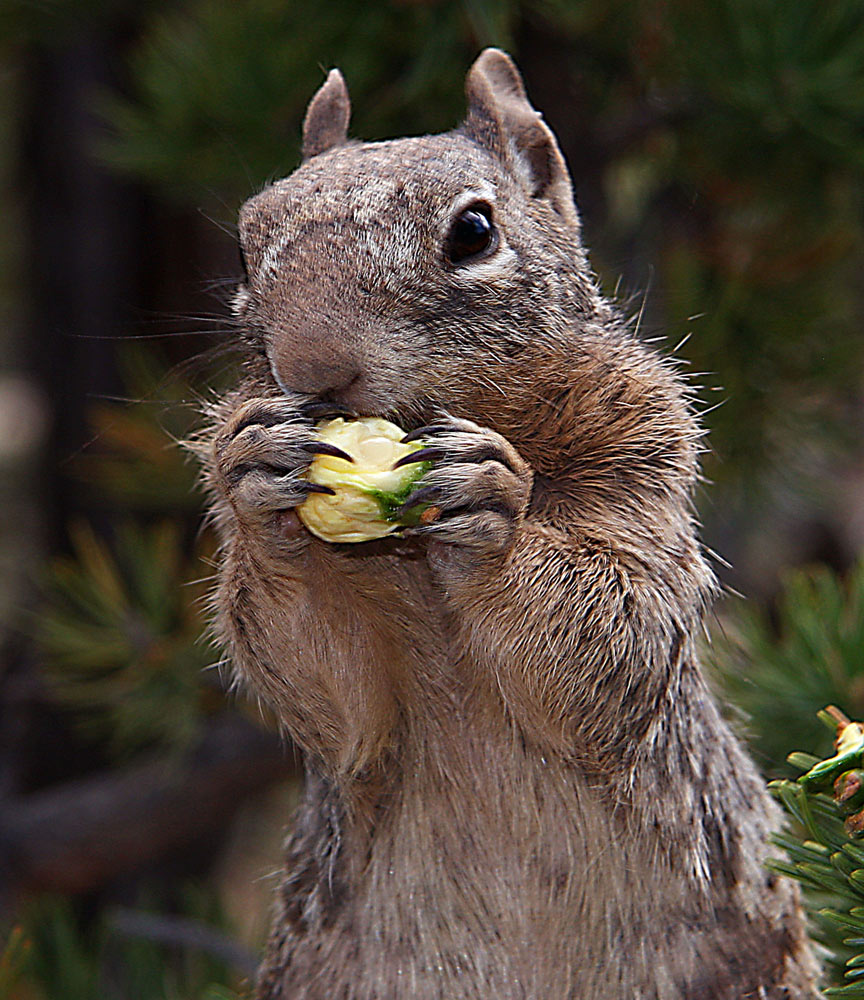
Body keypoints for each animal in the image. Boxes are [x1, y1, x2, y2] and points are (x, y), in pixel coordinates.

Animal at [199, 50, 820, 1000]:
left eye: (474, 232)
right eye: (243, 241)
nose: (312, 364)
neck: (418, 565)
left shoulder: (645, 467)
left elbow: (618, 634)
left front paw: (498, 518)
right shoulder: (355, 731)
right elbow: (331, 692)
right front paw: (257, 482)